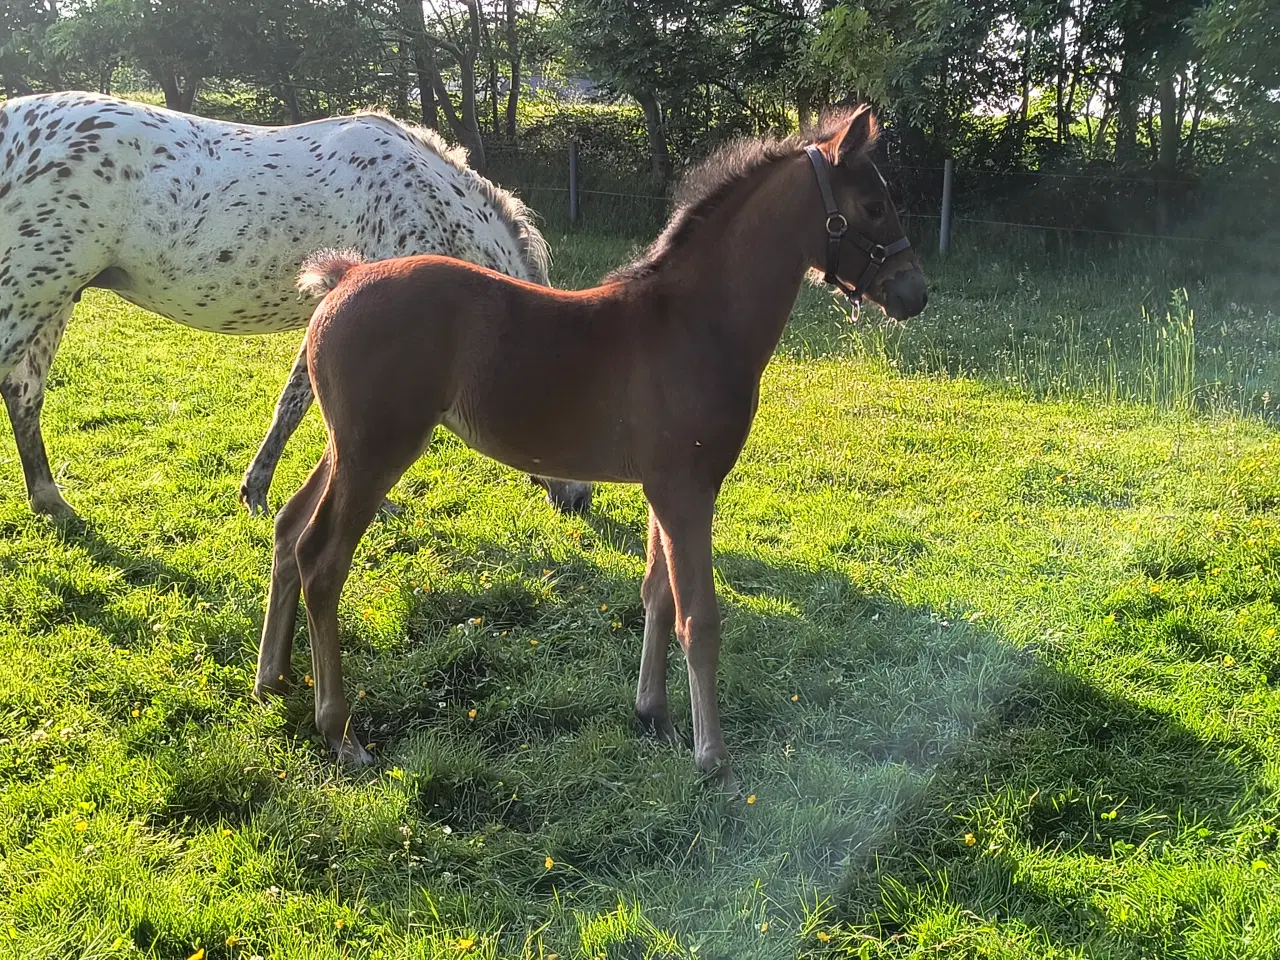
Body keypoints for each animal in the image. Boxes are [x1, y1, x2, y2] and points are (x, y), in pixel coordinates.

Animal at [0, 91, 591, 518]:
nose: (580, 499)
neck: (424, 204)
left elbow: (293, 404)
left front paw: (255, 492)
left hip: (53, 300)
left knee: (24, 396)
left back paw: (53, 504)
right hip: (30, 295)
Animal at [258, 105, 927, 788]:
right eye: (874, 206)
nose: (914, 292)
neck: (694, 324)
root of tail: (344, 278)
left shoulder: (667, 488)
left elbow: (658, 596)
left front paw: (653, 716)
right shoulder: (688, 489)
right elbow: (699, 618)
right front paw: (713, 758)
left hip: (349, 447)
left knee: (289, 526)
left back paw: (272, 678)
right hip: (376, 454)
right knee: (322, 562)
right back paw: (340, 732)